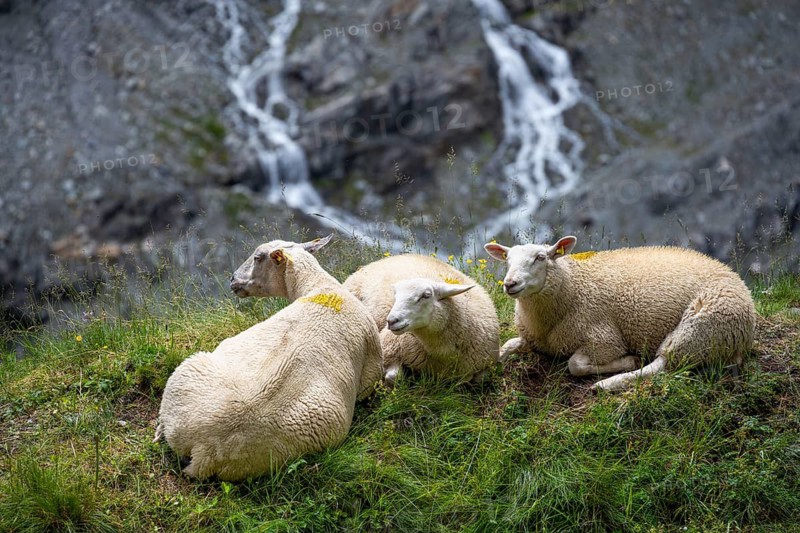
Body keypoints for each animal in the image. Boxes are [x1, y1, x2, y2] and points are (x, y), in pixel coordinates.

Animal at [343, 254, 500, 383]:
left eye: (426, 295)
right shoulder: (389, 347)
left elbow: (480, 378)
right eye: (395, 296)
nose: (391, 321)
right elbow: (393, 376)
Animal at [485, 236, 756, 391]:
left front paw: (624, 361)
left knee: (662, 365)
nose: (510, 284)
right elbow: (506, 346)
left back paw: (609, 382)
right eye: (507, 259)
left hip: (702, 326)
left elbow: (575, 365)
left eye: (540, 257)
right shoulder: (530, 337)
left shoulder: (605, 340)